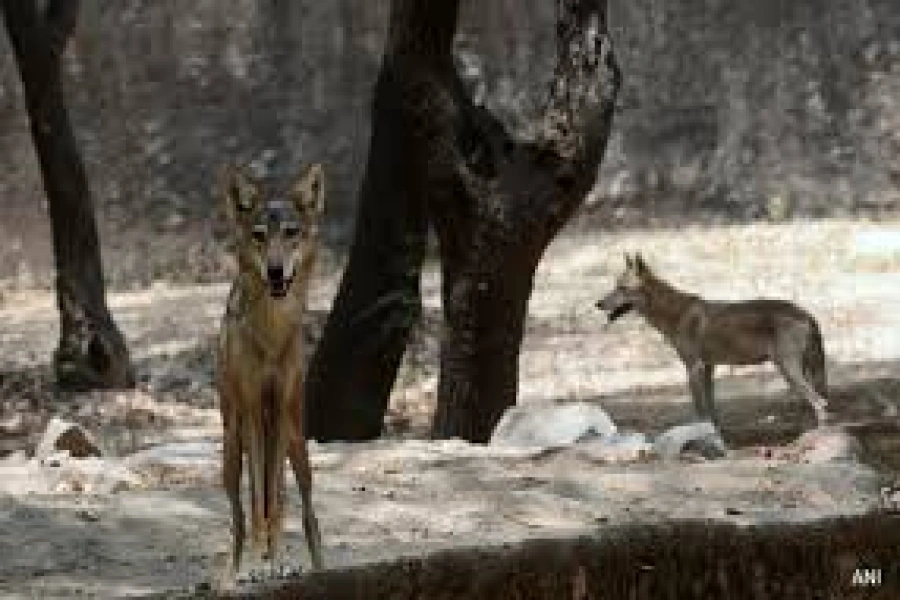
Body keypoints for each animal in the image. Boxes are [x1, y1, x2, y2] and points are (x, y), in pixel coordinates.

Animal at [216, 163, 325, 579]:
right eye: (260, 236)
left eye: (291, 233)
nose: (276, 271)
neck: (271, 335)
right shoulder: (251, 411)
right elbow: (257, 503)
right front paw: (256, 565)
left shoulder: (277, 409)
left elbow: (275, 502)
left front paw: (276, 561)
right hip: (231, 453)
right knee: (239, 519)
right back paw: (234, 572)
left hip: (297, 445)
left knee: (307, 515)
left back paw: (318, 567)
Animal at [596, 254, 831, 429]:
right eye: (615, 286)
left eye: (622, 288)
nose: (597, 304)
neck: (675, 313)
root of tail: (807, 314)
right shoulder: (709, 368)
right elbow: (711, 411)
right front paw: (714, 435)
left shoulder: (694, 368)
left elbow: (700, 411)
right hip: (802, 371)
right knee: (821, 403)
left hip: (788, 371)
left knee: (820, 403)